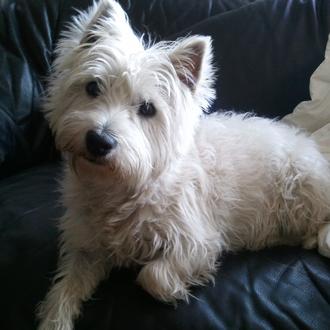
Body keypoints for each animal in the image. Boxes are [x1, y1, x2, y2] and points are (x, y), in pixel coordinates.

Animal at [37, 1, 330, 328]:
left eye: (148, 109)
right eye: (92, 87)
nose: (99, 141)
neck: (124, 184)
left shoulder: (197, 239)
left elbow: (153, 276)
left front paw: (178, 289)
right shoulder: (86, 247)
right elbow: (64, 288)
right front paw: (54, 319)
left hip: (302, 190)